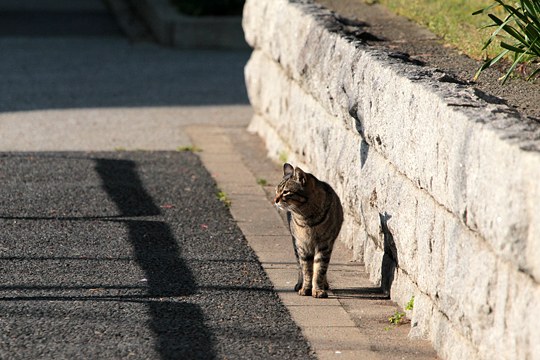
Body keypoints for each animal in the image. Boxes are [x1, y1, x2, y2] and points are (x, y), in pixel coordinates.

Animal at [272, 163, 344, 298]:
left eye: (286, 192)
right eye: (276, 191)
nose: (275, 200)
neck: (305, 217)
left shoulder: (324, 244)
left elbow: (319, 269)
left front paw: (318, 289)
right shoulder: (302, 245)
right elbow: (306, 269)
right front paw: (306, 288)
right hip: (296, 243)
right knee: (300, 265)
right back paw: (299, 284)